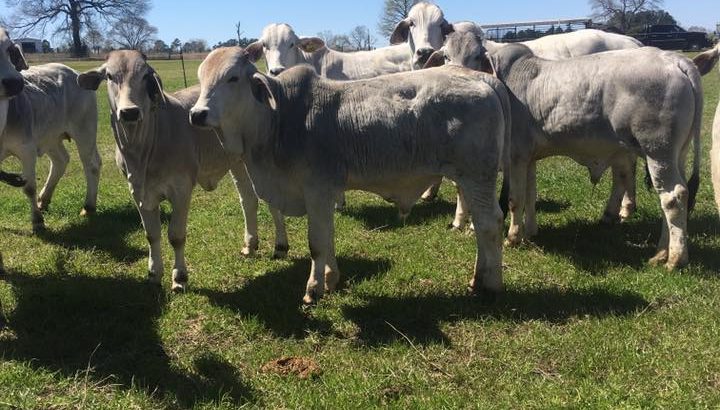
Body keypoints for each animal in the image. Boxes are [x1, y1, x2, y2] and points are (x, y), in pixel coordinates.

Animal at [77, 50, 289, 291]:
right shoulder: (138, 192)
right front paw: (154, 273)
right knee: (248, 199)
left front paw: (179, 278)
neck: (142, 151)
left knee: (273, 202)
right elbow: (152, 234)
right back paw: (250, 245)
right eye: (110, 76)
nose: (130, 112)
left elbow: (176, 236)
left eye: (144, 76)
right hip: (238, 162)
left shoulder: (181, 189)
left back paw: (280, 246)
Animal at [189, 47, 512, 304]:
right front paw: (330, 280)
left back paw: (492, 284)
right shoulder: (325, 194)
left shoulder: (317, 190)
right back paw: (478, 278)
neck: (280, 118)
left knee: (489, 224)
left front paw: (314, 288)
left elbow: (317, 243)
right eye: (202, 78)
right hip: (468, 179)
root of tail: (479, 77)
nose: (197, 113)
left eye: (232, 78)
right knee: (481, 225)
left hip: (477, 176)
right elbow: (328, 237)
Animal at [427, 32, 703, 270]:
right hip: (676, 154)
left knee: (673, 197)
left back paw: (675, 259)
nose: (457, 75)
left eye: (475, 56)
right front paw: (530, 232)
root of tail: (675, 59)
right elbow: (529, 195)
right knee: (670, 196)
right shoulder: (529, 158)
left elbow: (515, 199)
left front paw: (514, 237)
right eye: (446, 56)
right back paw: (661, 251)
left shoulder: (515, 157)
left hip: (657, 152)